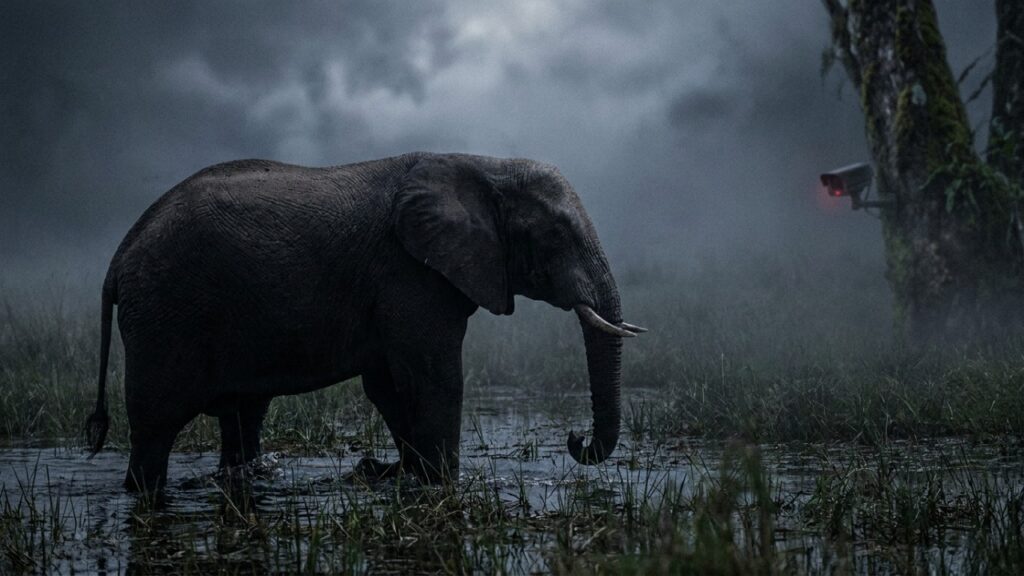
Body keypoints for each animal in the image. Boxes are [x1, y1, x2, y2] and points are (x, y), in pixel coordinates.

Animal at [84, 152, 645, 492]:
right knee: (157, 424)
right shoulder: (409, 273)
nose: (575, 440)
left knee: (244, 414)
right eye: (556, 237)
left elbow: (388, 385)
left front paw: (402, 475)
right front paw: (444, 485)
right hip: (165, 312)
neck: (484, 163)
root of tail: (119, 255)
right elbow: (434, 376)